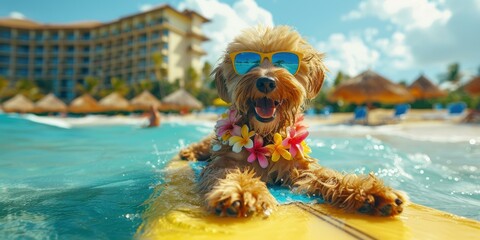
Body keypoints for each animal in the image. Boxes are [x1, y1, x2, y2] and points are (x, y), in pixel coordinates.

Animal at [178, 25, 406, 218]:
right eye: (247, 62)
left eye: (284, 62)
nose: (266, 81)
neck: (266, 137)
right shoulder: (225, 159)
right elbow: (228, 171)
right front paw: (243, 191)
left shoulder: (300, 167)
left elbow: (327, 176)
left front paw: (371, 192)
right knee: (203, 145)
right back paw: (188, 152)